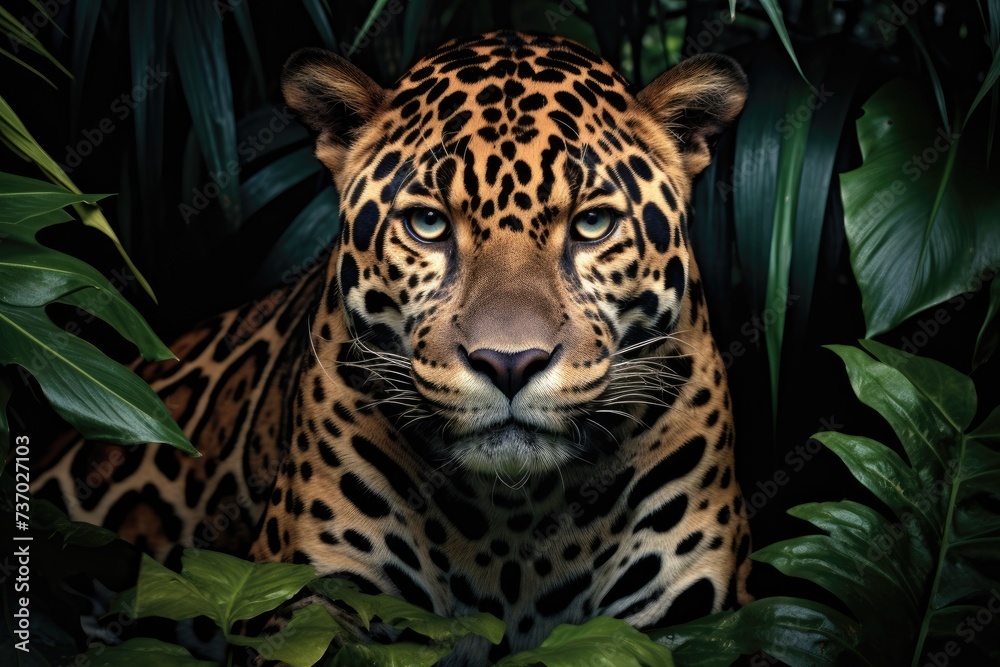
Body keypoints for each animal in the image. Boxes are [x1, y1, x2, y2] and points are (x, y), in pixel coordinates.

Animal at [35, 30, 751, 663]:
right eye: (428, 224)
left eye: (593, 224)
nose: (509, 363)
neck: (517, 522)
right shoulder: (312, 598)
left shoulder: (691, 616)